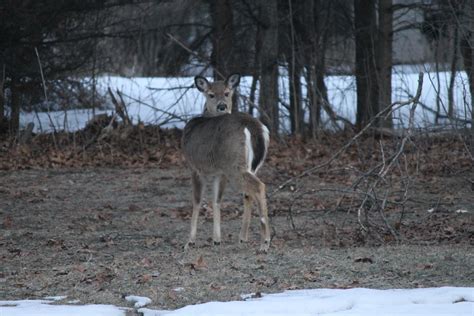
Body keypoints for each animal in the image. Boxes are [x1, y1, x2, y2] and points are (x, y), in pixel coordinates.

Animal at [181, 73, 270, 253]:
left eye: (227, 93)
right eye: (211, 94)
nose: (222, 106)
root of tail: (252, 125)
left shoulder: (194, 167)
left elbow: (197, 201)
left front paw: (190, 242)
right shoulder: (219, 172)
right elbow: (217, 199)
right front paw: (217, 239)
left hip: (234, 164)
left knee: (258, 186)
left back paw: (265, 242)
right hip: (248, 165)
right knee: (248, 192)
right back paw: (243, 237)